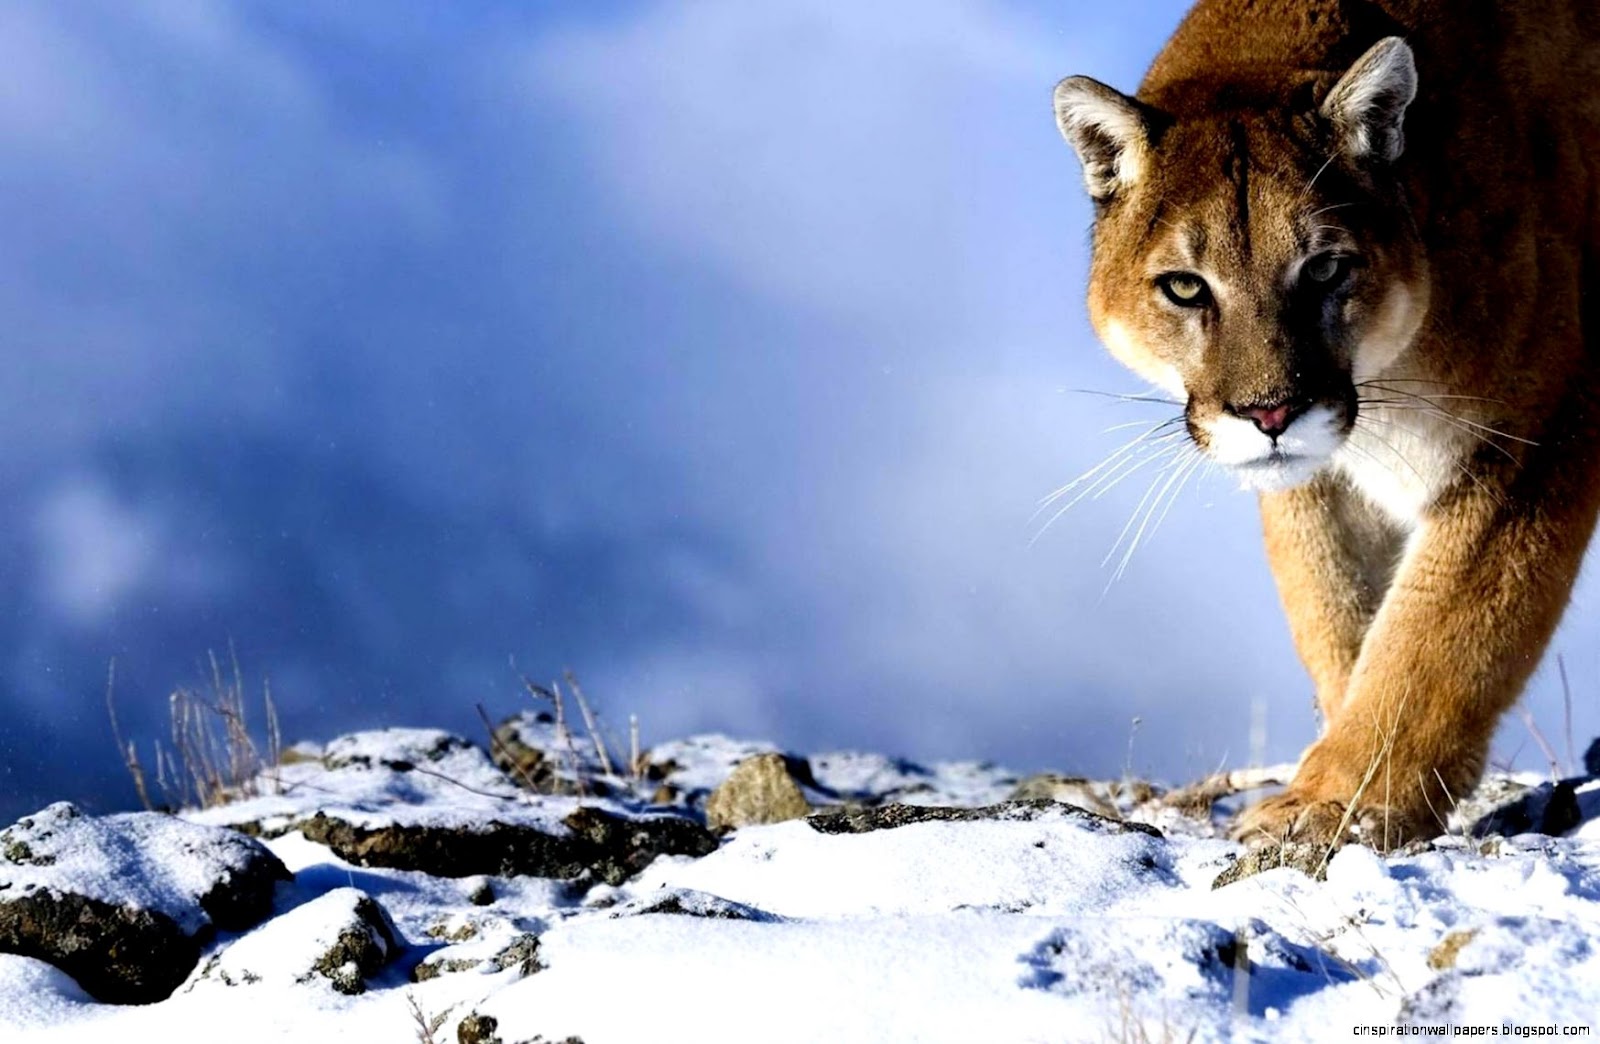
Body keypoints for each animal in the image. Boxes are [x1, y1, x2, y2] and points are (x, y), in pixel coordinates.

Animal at [1051, 0, 1600, 850]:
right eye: (1185, 287)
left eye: (1324, 268)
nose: (1270, 412)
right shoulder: (1320, 483)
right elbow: (1337, 617)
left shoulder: (1534, 437)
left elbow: (1437, 635)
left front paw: (1339, 802)